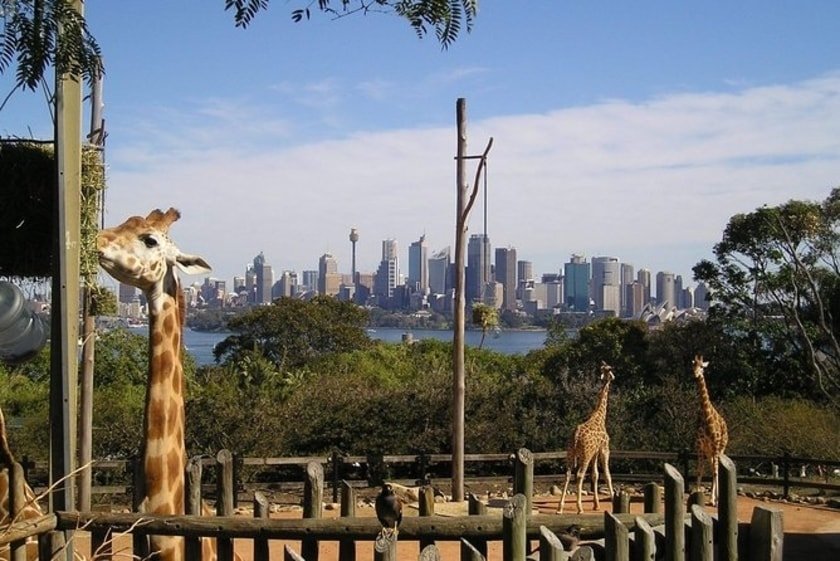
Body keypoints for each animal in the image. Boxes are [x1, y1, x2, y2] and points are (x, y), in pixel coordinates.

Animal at [556, 364, 616, 512]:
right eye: (610, 370)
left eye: (606, 368)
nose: (613, 377)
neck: (600, 417)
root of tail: (576, 436)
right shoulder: (604, 449)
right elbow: (607, 475)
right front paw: (613, 499)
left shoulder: (594, 452)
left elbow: (595, 475)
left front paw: (596, 505)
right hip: (585, 454)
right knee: (579, 475)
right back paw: (579, 508)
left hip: (570, 453)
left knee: (567, 474)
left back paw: (560, 508)